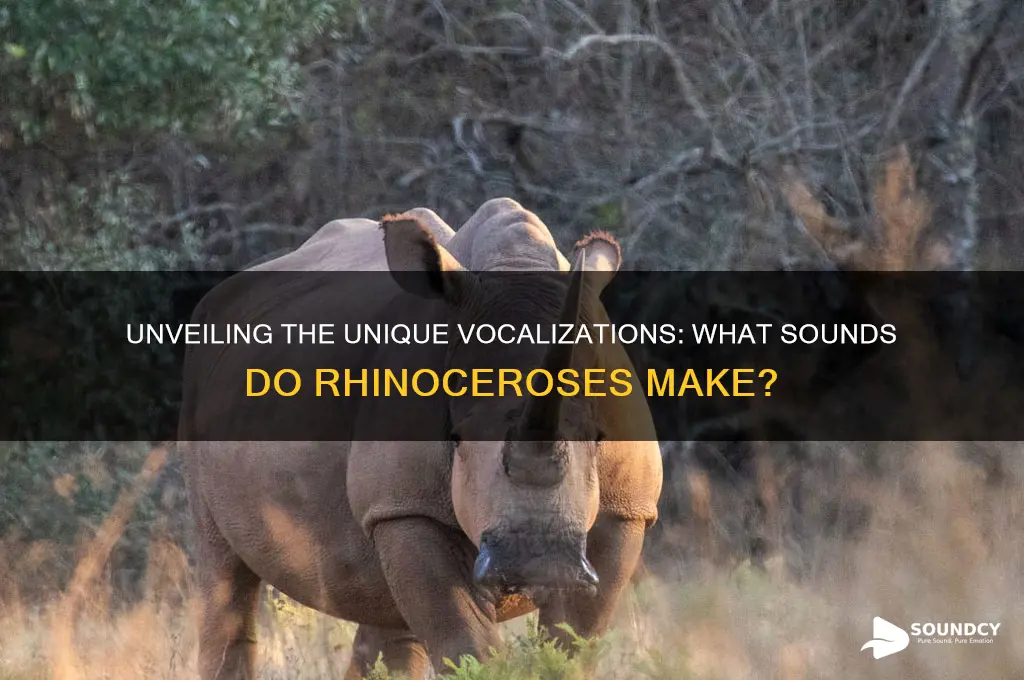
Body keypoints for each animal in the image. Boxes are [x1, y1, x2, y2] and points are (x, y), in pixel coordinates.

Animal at [179, 198, 663, 679]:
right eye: (456, 438)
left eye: (598, 438)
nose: (538, 560)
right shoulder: (406, 506)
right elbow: (467, 644)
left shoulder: (626, 510)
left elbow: (573, 644)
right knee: (223, 570)